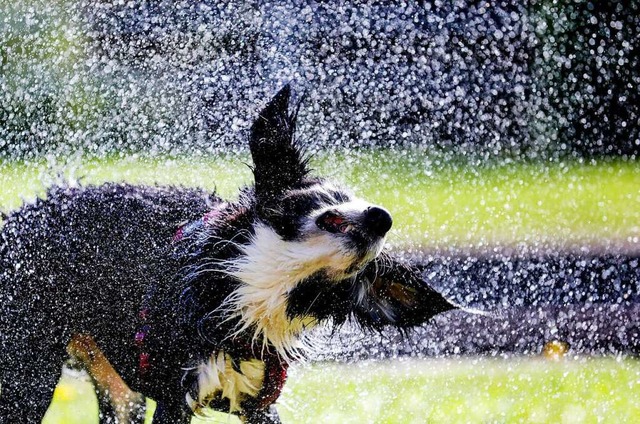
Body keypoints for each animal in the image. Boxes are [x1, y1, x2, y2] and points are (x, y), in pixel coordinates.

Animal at [2, 84, 458, 422]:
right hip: (27, 375)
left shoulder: (259, 401)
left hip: (117, 391)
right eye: (328, 199)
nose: (383, 217)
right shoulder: (176, 397)